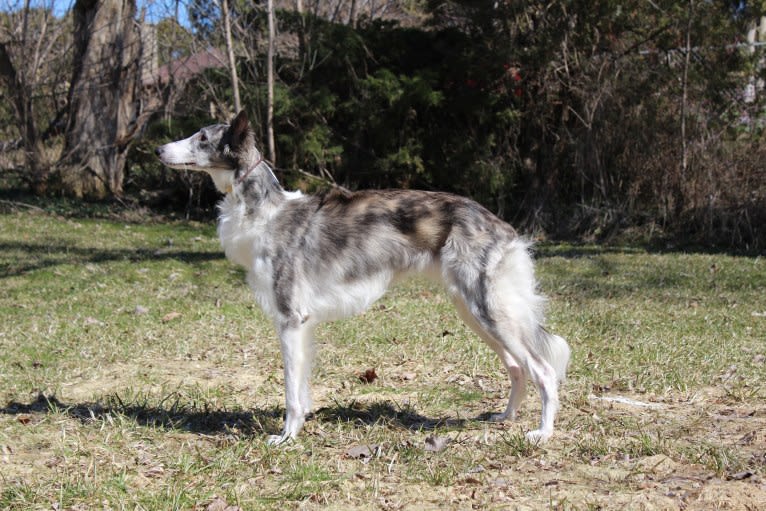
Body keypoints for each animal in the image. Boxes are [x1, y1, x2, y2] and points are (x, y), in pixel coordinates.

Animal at [156, 111, 568, 444]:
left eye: (202, 138)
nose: (159, 150)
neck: (266, 212)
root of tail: (503, 227)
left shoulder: (290, 319)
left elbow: (290, 392)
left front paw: (286, 437)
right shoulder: (301, 325)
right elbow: (301, 388)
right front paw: (298, 428)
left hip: (488, 311)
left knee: (544, 371)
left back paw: (543, 433)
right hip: (475, 311)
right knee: (517, 368)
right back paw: (506, 416)